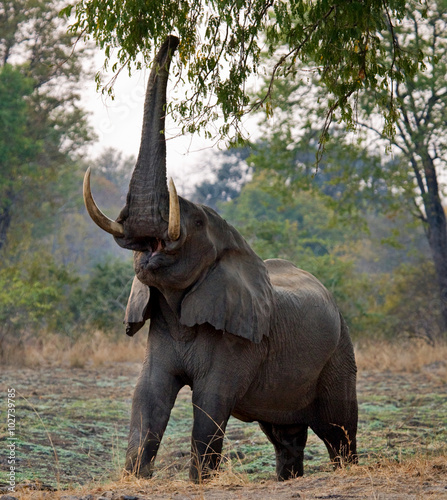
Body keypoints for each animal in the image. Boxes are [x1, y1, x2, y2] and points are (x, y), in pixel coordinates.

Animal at [83, 34, 356, 480]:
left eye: (194, 222)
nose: (174, 38)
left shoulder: (238, 339)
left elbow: (210, 402)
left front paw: (197, 482)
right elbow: (148, 396)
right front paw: (136, 477)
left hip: (339, 351)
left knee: (339, 429)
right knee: (286, 435)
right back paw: (287, 479)